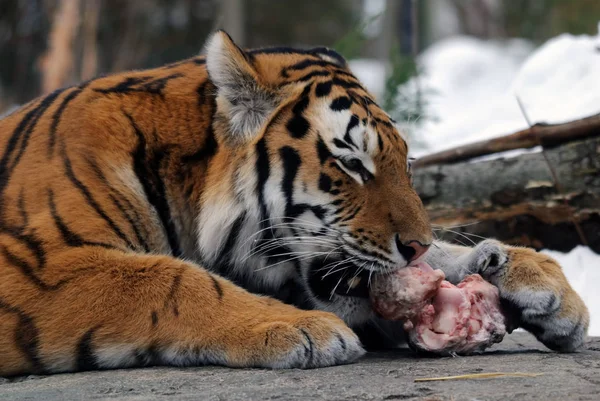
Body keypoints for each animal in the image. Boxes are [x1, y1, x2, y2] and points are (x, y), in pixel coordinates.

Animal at [0, 30, 592, 376]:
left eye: (406, 164)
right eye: (352, 163)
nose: (417, 244)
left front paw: (535, 282)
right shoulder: (36, 264)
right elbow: (167, 277)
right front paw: (302, 329)